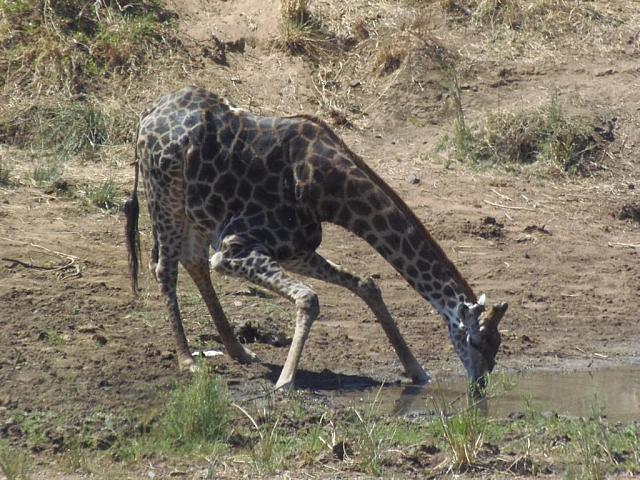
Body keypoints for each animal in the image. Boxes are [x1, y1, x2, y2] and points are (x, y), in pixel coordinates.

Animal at [122, 85, 508, 394]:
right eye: (475, 341)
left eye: (497, 345)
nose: (480, 387)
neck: (329, 188)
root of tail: (147, 113)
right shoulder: (235, 249)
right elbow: (309, 298)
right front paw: (285, 381)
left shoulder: (297, 249)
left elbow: (366, 285)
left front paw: (417, 371)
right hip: (164, 195)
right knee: (165, 267)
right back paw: (187, 360)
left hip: (196, 210)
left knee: (193, 260)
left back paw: (239, 351)